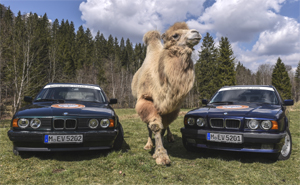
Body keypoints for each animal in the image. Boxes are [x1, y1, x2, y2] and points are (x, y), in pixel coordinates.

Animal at [131, 22, 202, 165]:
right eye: (175, 35)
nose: (196, 32)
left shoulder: (171, 107)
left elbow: (163, 127)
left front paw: (161, 148)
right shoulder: (146, 100)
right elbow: (155, 127)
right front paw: (161, 155)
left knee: (166, 126)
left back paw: (169, 138)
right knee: (149, 126)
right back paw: (149, 144)